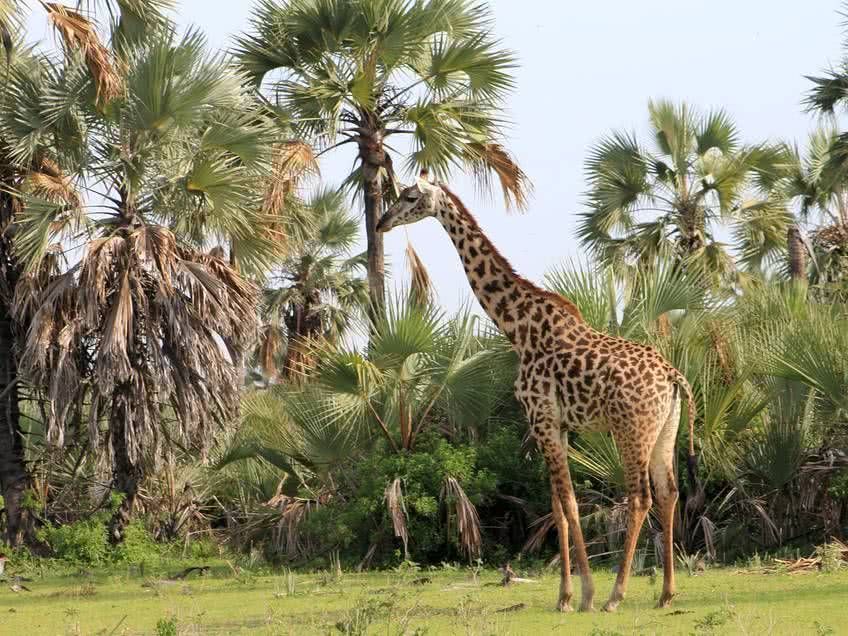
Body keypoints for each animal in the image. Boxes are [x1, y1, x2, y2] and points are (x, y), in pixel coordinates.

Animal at [378, 174, 696, 612]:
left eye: (409, 197)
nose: (381, 223)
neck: (518, 328)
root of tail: (673, 376)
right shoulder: (555, 425)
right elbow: (558, 507)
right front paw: (565, 595)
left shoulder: (542, 418)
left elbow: (569, 503)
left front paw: (584, 595)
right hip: (665, 429)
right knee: (669, 493)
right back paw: (666, 593)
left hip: (632, 429)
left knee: (639, 498)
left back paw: (615, 595)